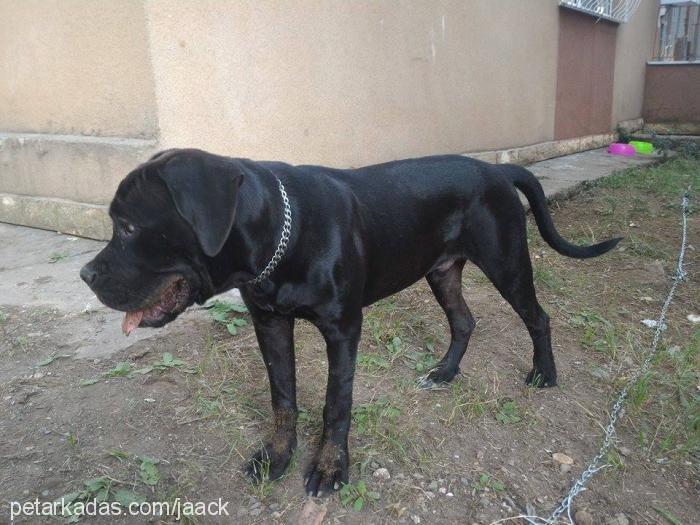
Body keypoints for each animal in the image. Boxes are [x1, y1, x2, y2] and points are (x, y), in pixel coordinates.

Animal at [79, 148, 620, 496]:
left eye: (128, 226)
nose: (85, 275)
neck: (281, 234)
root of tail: (497, 168)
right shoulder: (269, 325)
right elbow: (283, 398)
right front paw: (277, 457)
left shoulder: (343, 330)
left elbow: (335, 405)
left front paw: (329, 468)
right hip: (442, 271)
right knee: (464, 320)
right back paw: (444, 372)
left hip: (506, 262)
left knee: (539, 317)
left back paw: (544, 373)